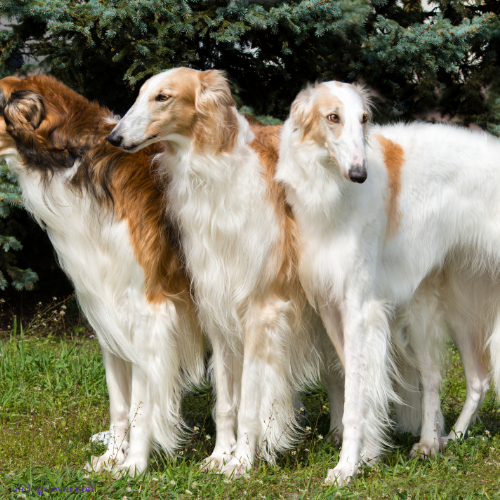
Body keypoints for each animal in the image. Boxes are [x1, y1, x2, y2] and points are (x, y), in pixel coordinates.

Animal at [0, 75, 204, 476]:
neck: (78, 164)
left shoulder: (149, 313)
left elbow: (141, 405)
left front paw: (134, 465)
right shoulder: (106, 308)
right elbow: (120, 404)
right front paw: (112, 456)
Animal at [108, 68, 346, 478]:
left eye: (163, 97)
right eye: (139, 94)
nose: (115, 137)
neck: (217, 173)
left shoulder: (260, 310)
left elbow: (250, 403)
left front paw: (242, 461)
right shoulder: (217, 309)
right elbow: (225, 402)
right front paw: (220, 455)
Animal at [276, 82, 500, 484]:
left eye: (364, 118)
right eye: (332, 117)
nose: (359, 173)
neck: (331, 189)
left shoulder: (359, 307)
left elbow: (355, 397)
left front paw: (346, 466)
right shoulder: (331, 307)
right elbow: (359, 386)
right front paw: (366, 455)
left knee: (440, 378)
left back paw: (431, 441)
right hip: (451, 308)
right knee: (473, 379)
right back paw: (443, 440)